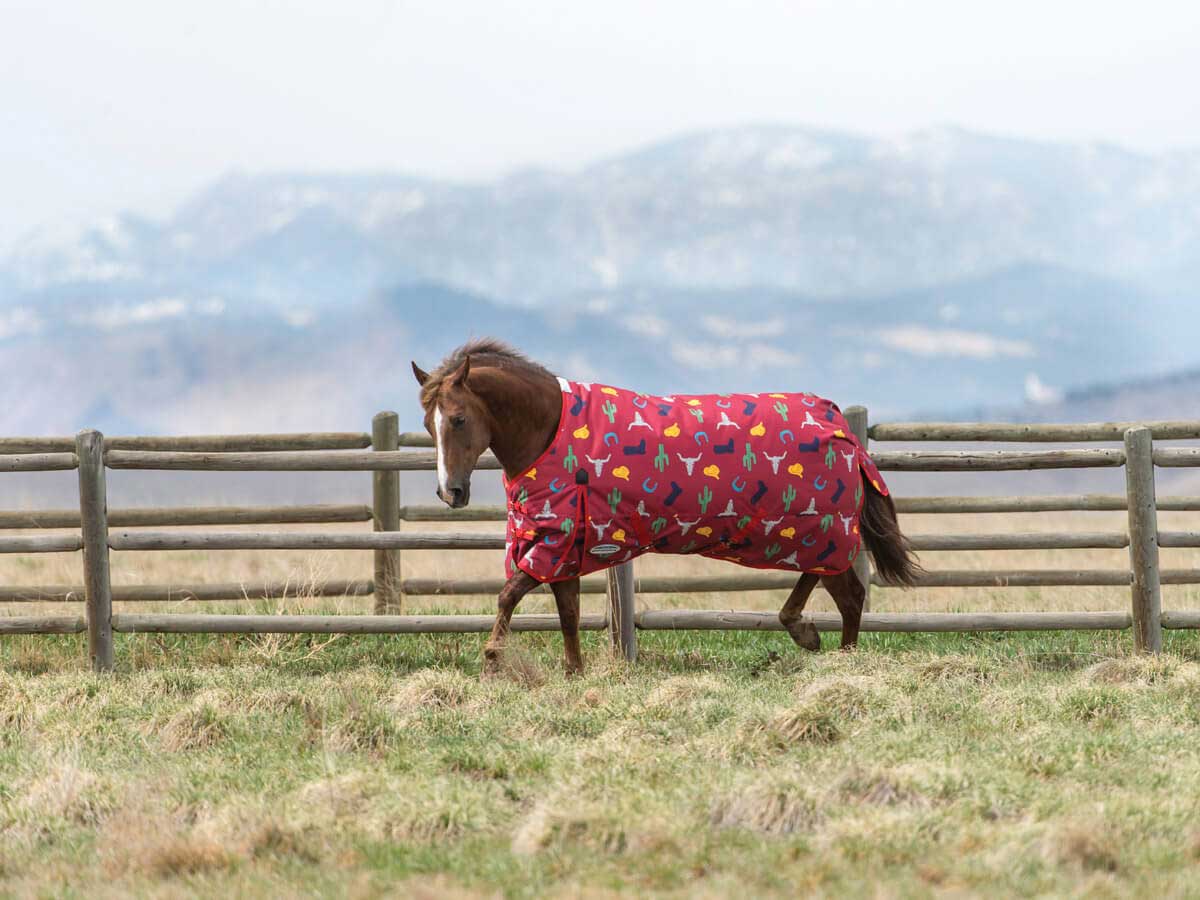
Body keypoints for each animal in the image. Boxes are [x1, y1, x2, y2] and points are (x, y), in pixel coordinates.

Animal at [413, 339, 920, 675]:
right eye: (427, 422)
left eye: (458, 419)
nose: (450, 492)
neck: (550, 431)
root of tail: (840, 426)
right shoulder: (564, 542)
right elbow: (567, 612)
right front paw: (574, 672)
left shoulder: (553, 541)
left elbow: (509, 593)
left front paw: (493, 657)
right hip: (810, 533)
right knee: (831, 585)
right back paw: (807, 633)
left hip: (819, 528)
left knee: (849, 595)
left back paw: (835, 656)